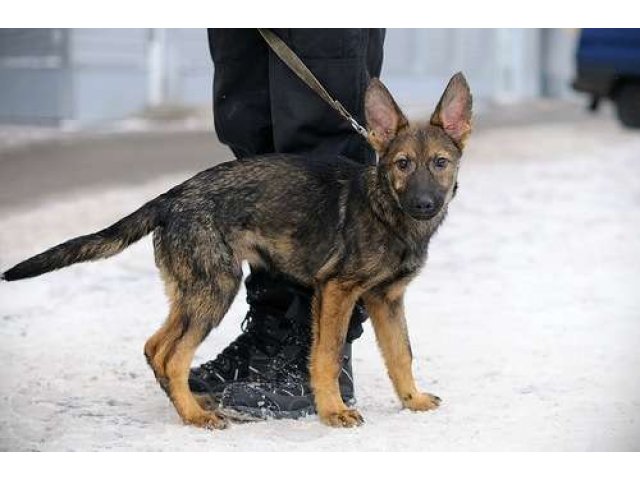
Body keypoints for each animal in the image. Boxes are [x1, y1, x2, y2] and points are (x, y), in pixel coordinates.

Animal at [0, 73, 470, 430]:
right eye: (402, 164)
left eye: (441, 163)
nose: (424, 204)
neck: (385, 209)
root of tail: (172, 197)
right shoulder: (337, 290)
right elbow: (326, 356)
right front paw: (333, 411)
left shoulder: (386, 299)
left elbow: (401, 353)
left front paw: (412, 400)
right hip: (216, 287)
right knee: (172, 355)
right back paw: (195, 417)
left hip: (195, 290)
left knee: (155, 346)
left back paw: (193, 404)